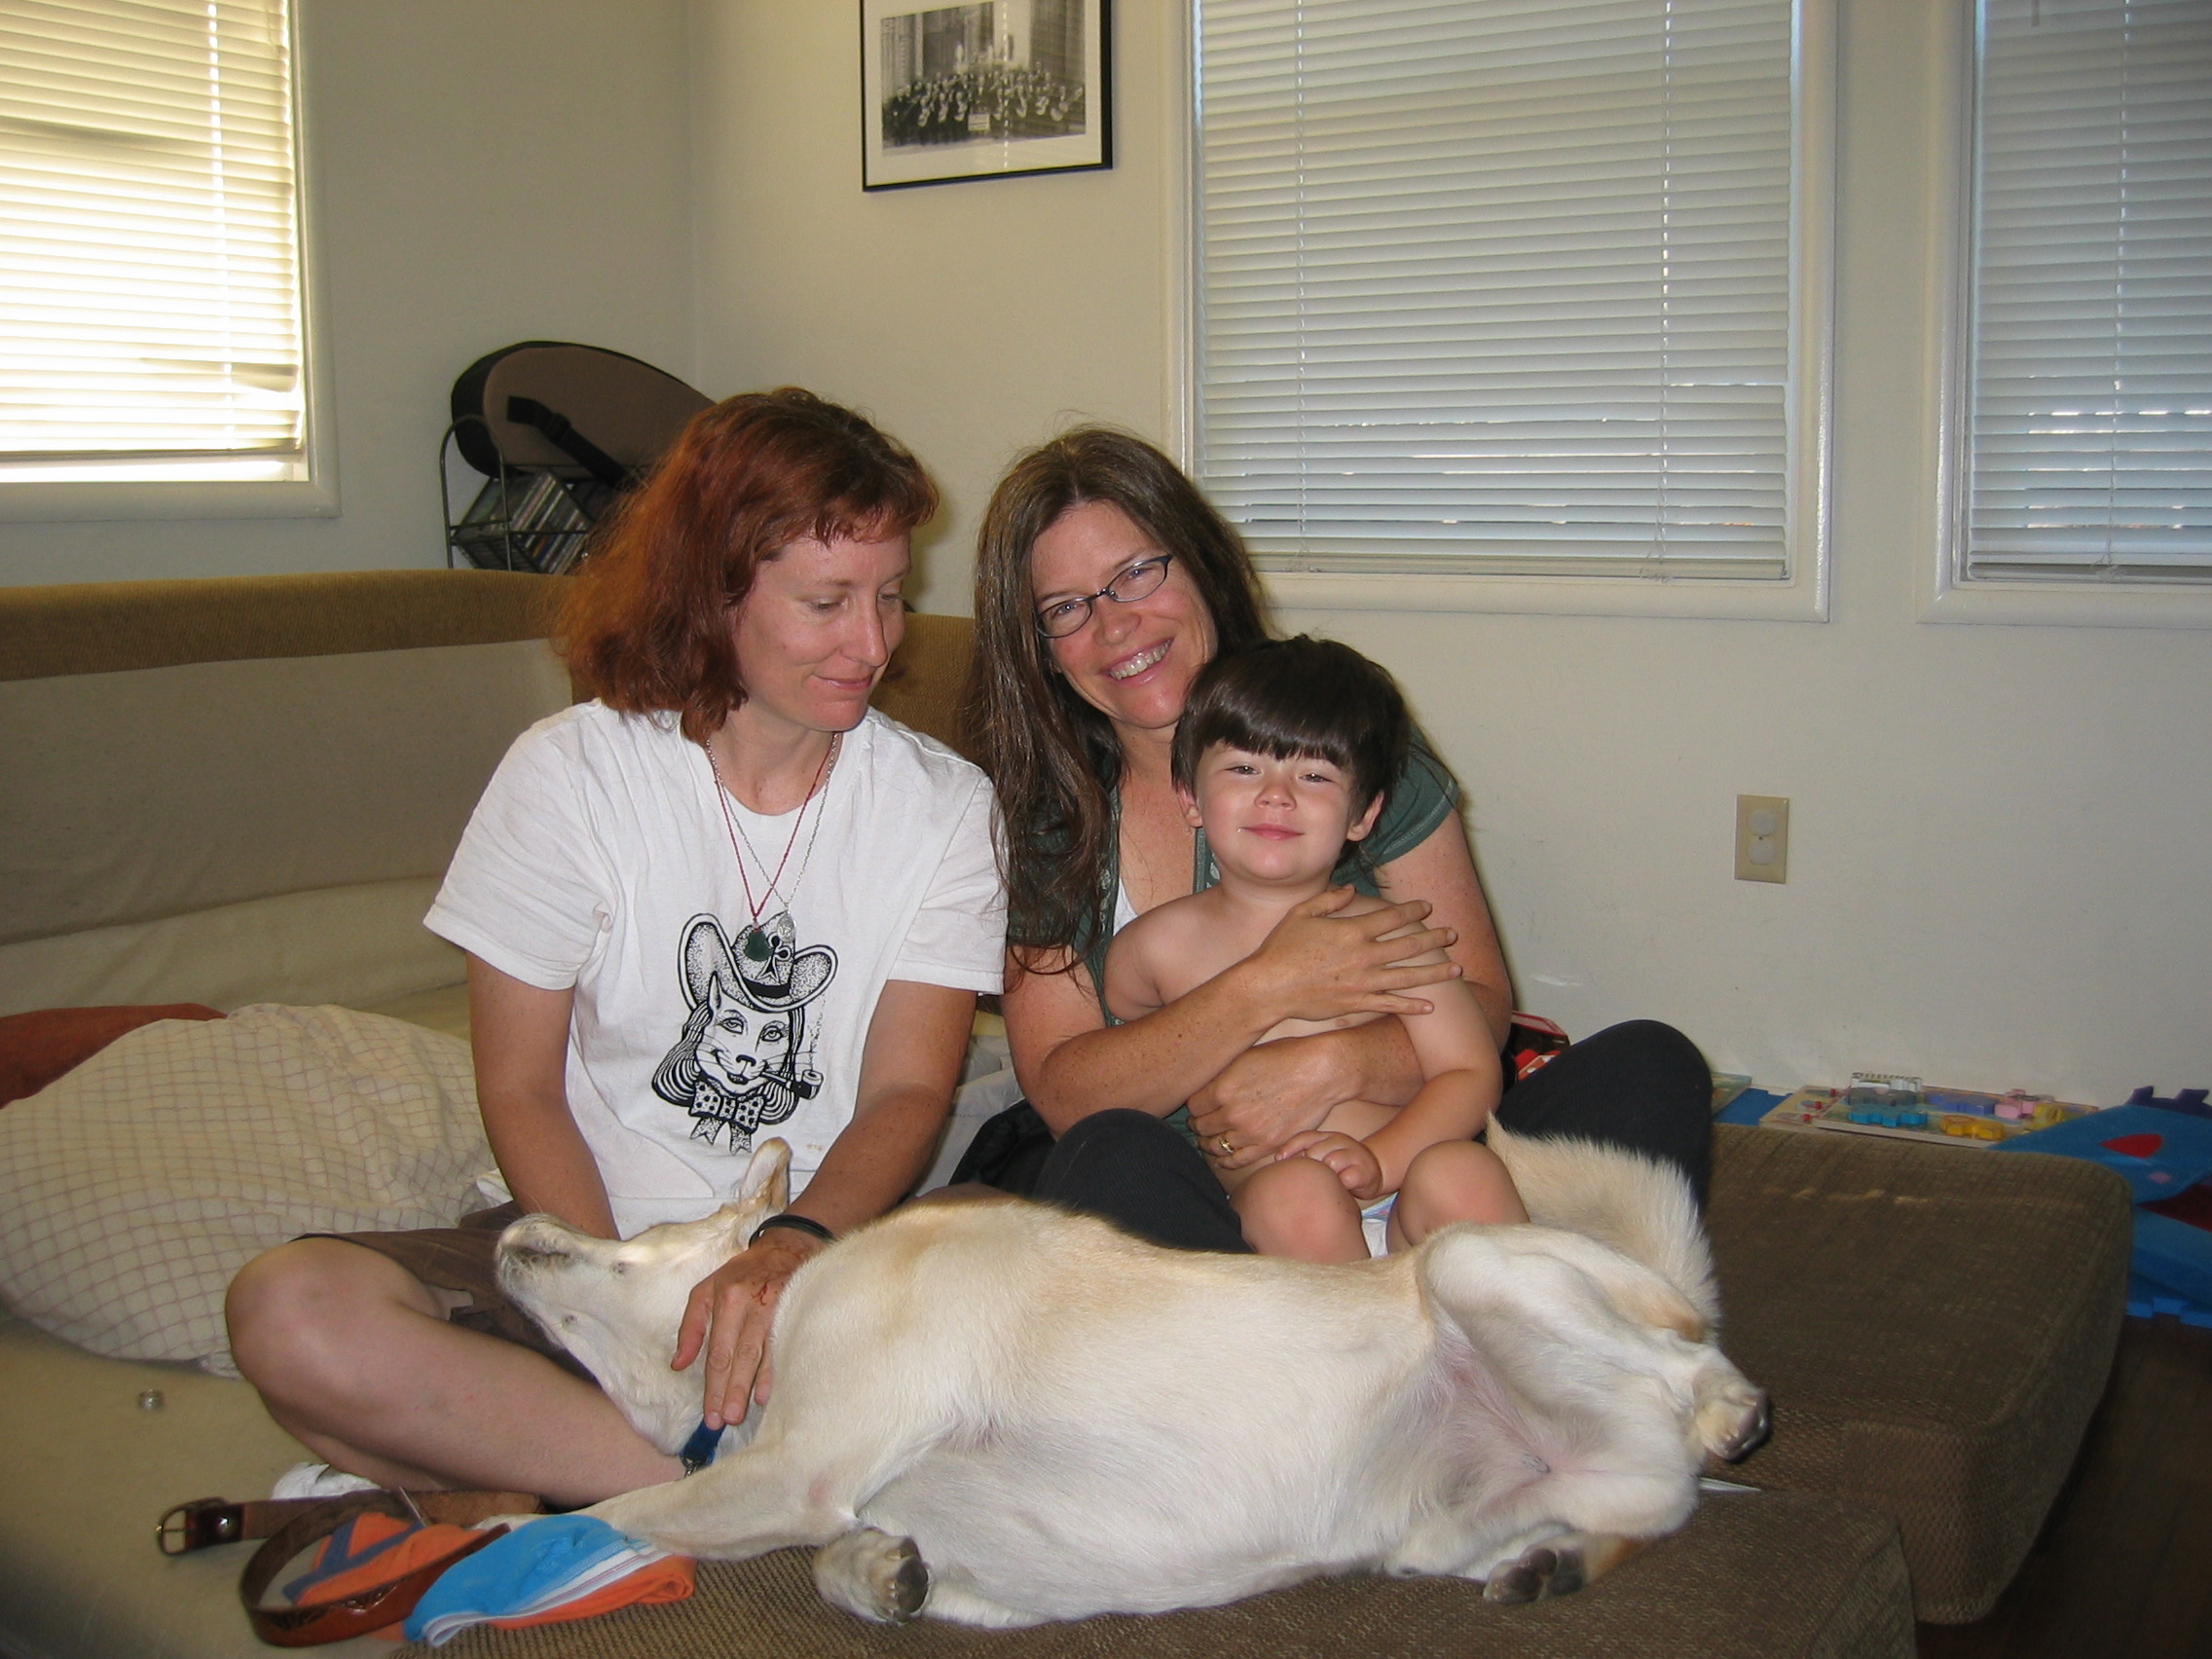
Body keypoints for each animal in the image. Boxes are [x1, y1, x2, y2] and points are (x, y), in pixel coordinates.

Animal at [496, 1124, 1768, 1628]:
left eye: (638, 1229)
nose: (508, 1219)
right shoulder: (996, 1582)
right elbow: (841, 1565)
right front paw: (880, 1571)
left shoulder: (798, 1466)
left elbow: (619, 1510)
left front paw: (513, 1549)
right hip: (1454, 1524)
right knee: (1645, 1506)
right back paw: (1555, 1565)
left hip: (1467, 1261)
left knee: (1690, 1358)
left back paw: (1730, 1411)